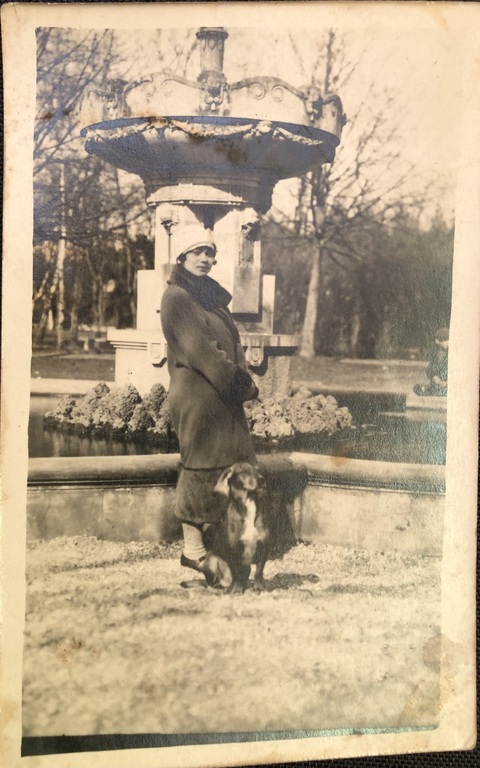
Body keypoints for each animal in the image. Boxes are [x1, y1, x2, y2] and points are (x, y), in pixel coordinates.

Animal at [202, 462, 270, 592]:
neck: (249, 505)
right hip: (210, 559)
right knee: (213, 583)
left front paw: (259, 586)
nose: (262, 480)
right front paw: (237, 589)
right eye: (244, 471)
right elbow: (235, 572)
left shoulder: (264, 546)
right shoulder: (232, 549)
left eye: (258, 470)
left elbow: (259, 570)